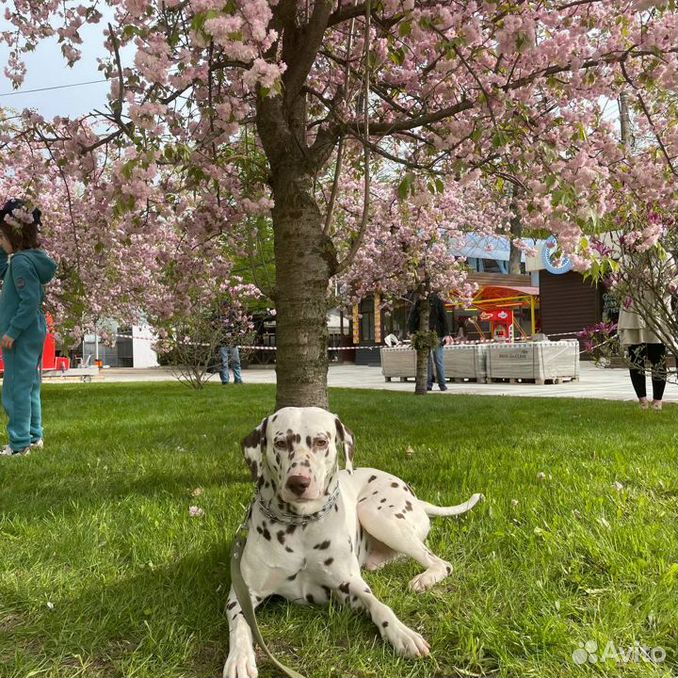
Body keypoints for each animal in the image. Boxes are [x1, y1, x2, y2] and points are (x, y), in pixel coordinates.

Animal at [226, 410, 486, 678]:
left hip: (375, 513)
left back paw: (423, 580)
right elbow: (240, 623)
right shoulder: (243, 592)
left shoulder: (348, 587)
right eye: (280, 443)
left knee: (441, 563)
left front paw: (402, 633)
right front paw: (240, 658)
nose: (299, 482)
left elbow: (379, 605)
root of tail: (416, 498)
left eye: (321, 441)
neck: (299, 524)